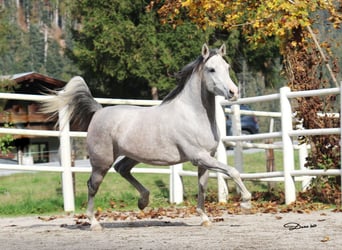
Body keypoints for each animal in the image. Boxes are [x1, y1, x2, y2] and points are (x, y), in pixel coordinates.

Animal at [42, 44, 251, 229]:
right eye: (211, 69)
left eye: (227, 67)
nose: (233, 92)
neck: (193, 115)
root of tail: (99, 111)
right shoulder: (199, 157)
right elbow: (233, 171)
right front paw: (246, 201)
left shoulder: (206, 159)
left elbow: (203, 187)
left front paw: (205, 219)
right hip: (101, 162)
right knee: (93, 185)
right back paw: (94, 223)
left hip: (133, 156)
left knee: (122, 169)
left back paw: (143, 201)